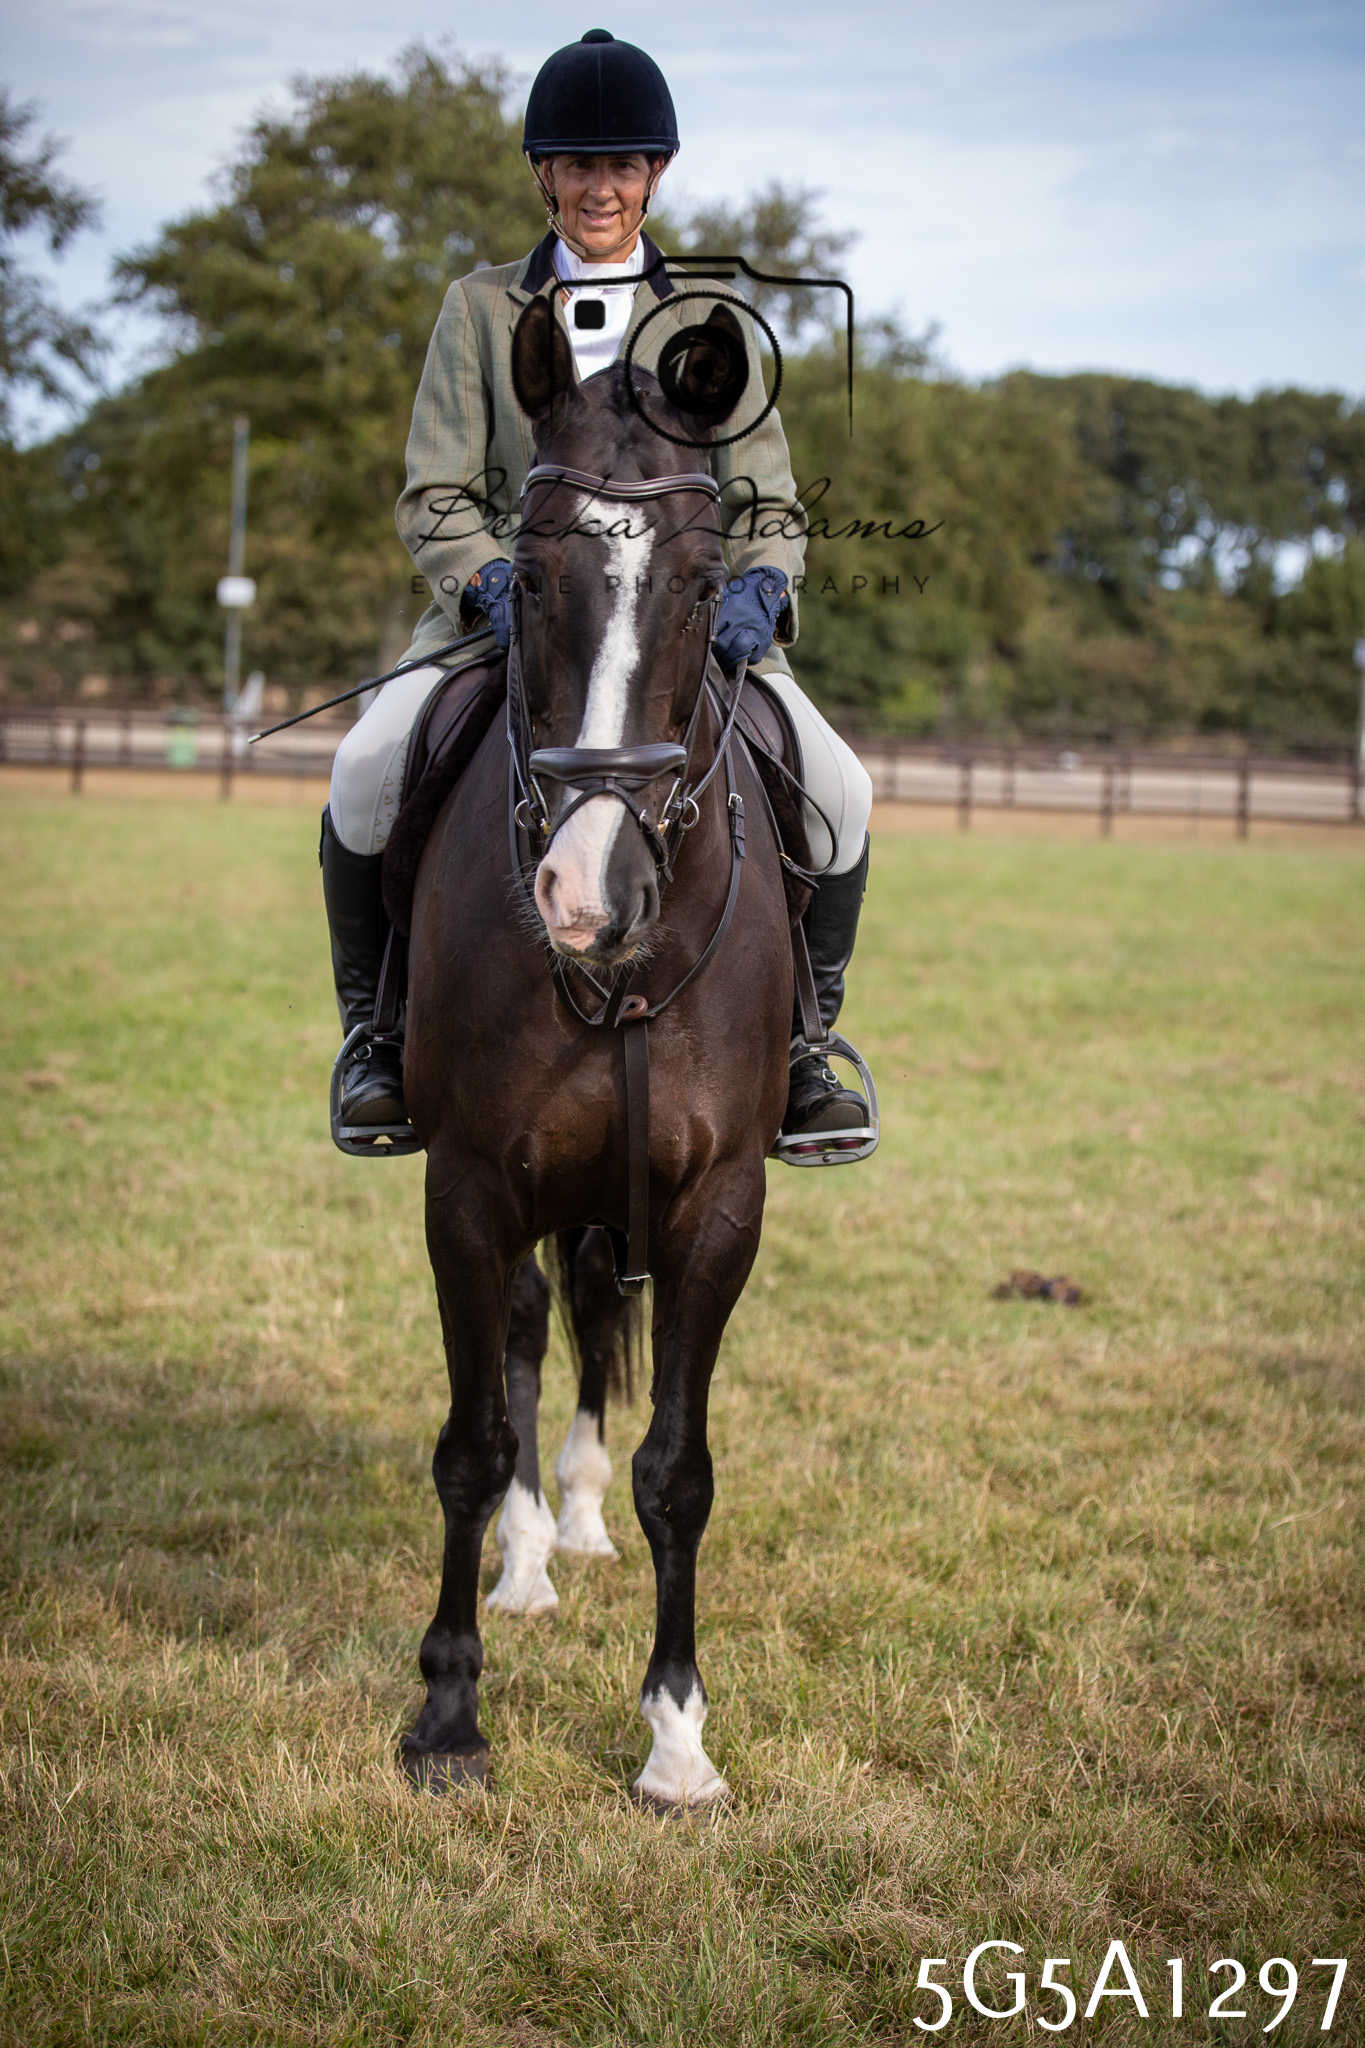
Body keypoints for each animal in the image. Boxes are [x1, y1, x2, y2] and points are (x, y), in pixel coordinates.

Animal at [397, 294, 796, 1807]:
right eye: (529, 583)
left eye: (702, 586)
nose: (584, 894)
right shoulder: (464, 1185)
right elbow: (469, 1443)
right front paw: (449, 1714)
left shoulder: (719, 1203)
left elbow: (679, 1468)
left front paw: (677, 1737)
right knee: (521, 1335)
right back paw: (525, 1561)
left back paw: (568, 1525)